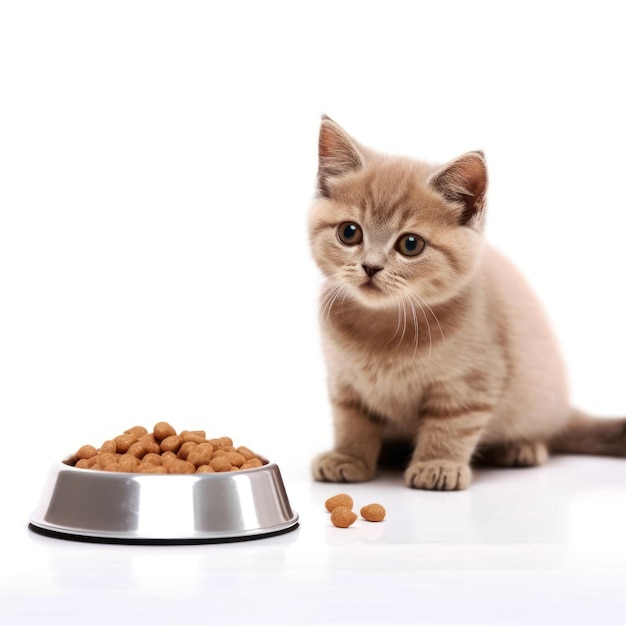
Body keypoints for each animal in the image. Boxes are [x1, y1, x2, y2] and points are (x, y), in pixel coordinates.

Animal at [308, 116, 624, 488]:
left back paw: (520, 448)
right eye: (349, 233)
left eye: (411, 245)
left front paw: (438, 464)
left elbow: (451, 425)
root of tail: (564, 409)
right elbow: (351, 422)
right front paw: (348, 457)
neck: (382, 327)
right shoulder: (345, 382)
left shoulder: (471, 382)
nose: (370, 267)